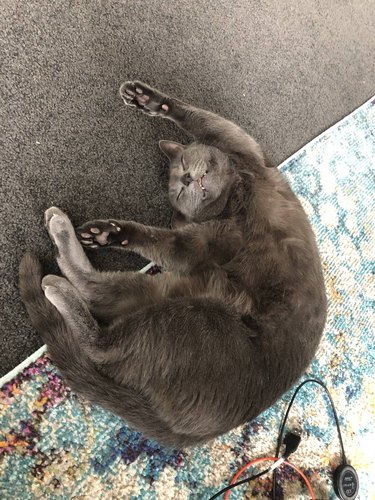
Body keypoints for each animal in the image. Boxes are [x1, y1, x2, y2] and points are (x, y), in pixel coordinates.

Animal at [19, 80, 328, 448]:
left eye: (183, 165)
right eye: (179, 184)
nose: (186, 179)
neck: (234, 199)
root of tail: (188, 431)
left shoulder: (243, 154)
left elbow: (204, 122)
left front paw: (148, 99)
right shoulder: (205, 239)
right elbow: (164, 239)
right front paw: (111, 233)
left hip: (187, 311)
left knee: (99, 322)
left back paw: (59, 263)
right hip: (184, 302)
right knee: (98, 317)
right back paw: (62, 246)